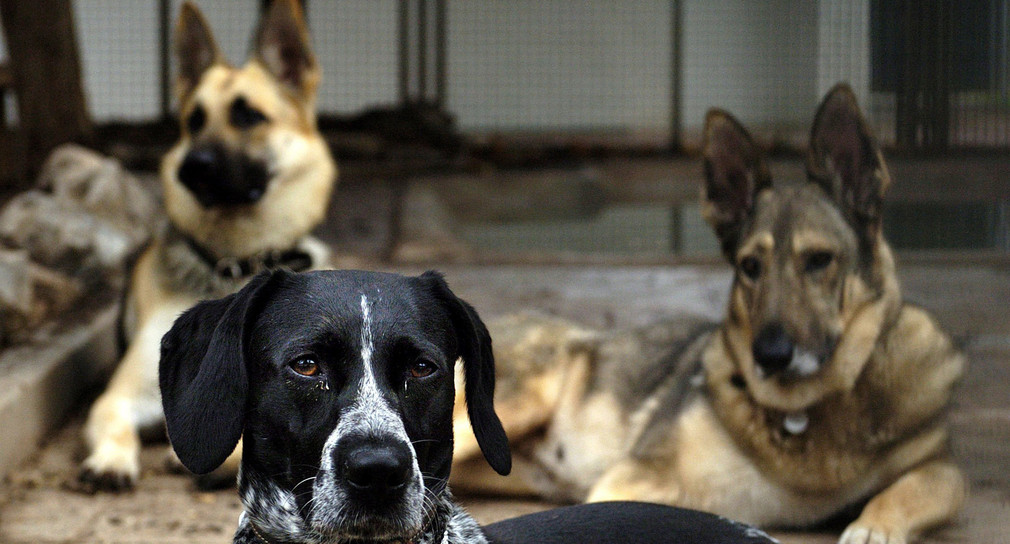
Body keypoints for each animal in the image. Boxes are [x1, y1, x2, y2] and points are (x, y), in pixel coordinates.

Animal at [81, 0, 335, 492]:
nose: (191, 168)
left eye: (249, 116)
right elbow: (115, 422)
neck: (234, 264)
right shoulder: (122, 395)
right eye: (194, 121)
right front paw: (111, 460)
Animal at [454, 85, 965, 544]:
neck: (803, 414)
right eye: (750, 267)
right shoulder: (632, 478)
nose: (770, 355)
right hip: (517, 403)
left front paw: (873, 527)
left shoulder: (939, 464)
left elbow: (922, 487)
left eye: (820, 260)